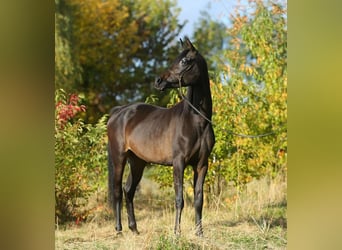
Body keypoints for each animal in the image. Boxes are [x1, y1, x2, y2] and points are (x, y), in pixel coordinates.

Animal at [107, 37, 214, 236]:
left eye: (185, 61)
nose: (158, 81)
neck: (196, 121)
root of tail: (118, 111)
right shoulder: (179, 163)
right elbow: (179, 199)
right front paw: (176, 233)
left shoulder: (202, 164)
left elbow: (199, 199)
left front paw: (199, 233)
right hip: (119, 158)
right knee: (117, 190)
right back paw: (119, 230)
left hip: (137, 161)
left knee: (128, 190)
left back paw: (134, 229)